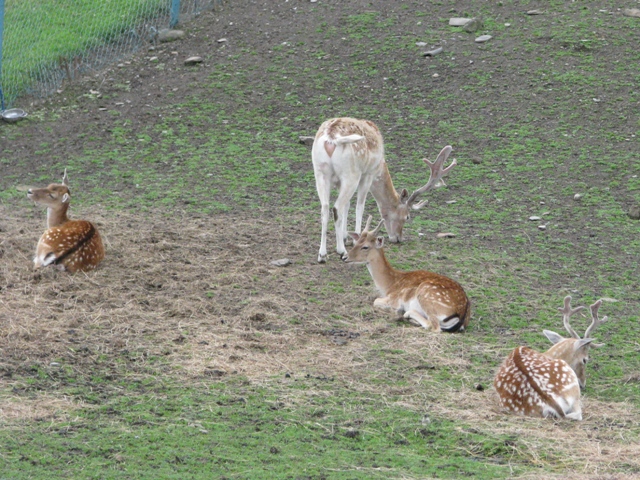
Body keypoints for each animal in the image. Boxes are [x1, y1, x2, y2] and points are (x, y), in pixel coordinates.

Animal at [312, 118, 458, 264]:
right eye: (407, 217)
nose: (399, 238)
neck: (380, 166)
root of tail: (331, 139)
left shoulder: (339, 182)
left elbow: (347, 206)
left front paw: (345, 237)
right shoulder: (368, 173)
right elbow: (360, 206)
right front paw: (355, 240)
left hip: (320, 172)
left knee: (325, 207)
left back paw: (322, 255)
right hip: (351, 173)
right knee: (336, 208)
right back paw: (341, 251)